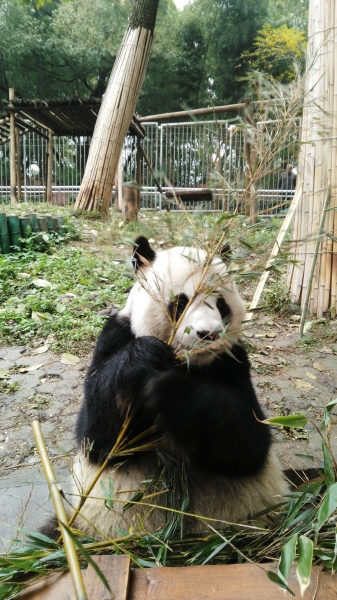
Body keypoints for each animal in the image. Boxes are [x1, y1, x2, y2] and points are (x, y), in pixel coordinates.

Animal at [71, 236, 286, 540]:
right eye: (181, 302)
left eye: (221, 304)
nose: (209, 334)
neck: (189, 363)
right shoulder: (117, 334)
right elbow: (97, 437)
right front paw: (147, 359)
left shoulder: (232, 361)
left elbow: (248, 445)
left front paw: (174, 389)